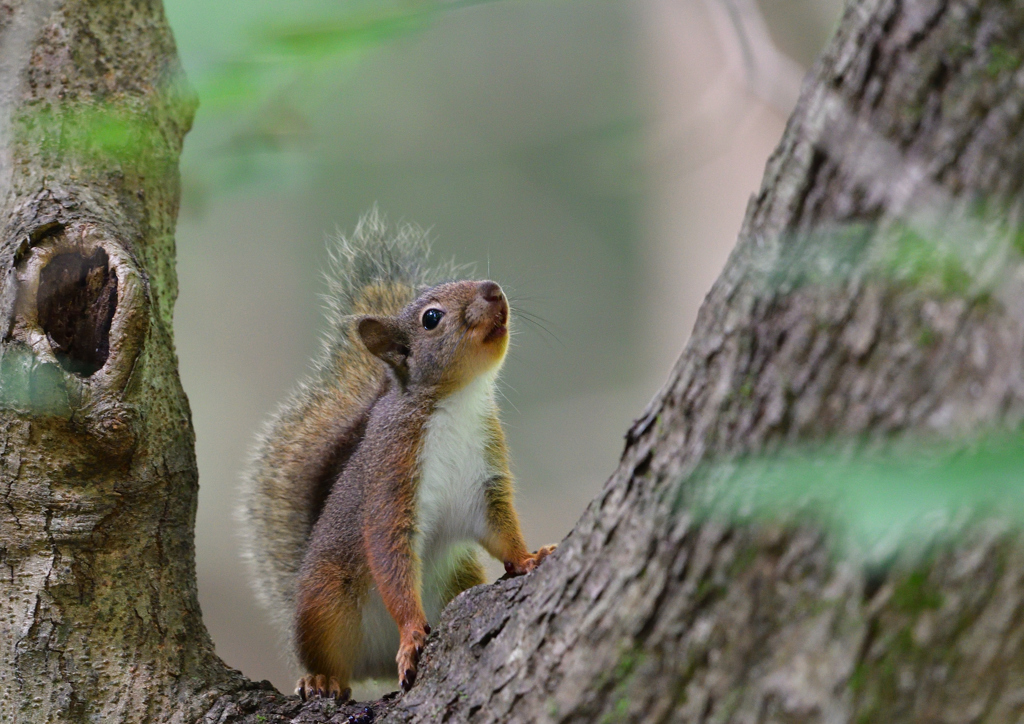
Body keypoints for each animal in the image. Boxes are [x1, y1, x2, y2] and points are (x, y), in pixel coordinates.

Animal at [236, 210, 557, 700]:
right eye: (431, 318)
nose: (493, 289)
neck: (457, 401)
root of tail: (376, 663)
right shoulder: (392, 477)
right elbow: (391, 557)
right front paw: (410, 634)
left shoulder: (486, 478)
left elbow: (501, 530)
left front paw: (528, 559)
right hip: (324, 601)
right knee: (330, 659)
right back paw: (321, 677)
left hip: (458, 575)